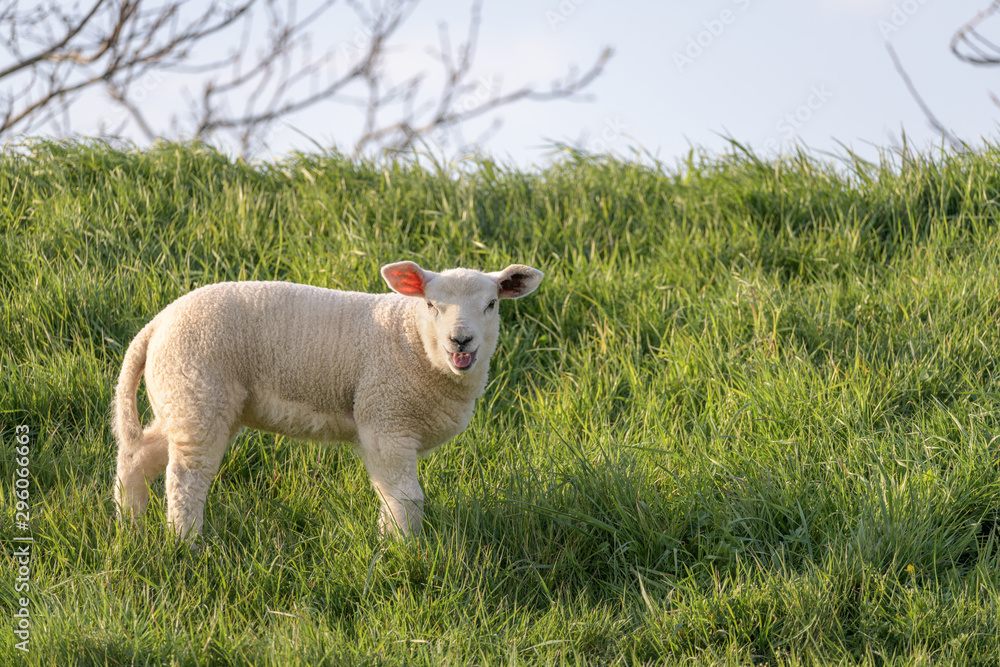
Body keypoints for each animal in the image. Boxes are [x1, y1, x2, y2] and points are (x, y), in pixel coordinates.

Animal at [112, 260, 543, 539]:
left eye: (492, 304)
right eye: (430, 304)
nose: (461, 340)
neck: (414, 342)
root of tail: (156, 324)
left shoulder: (388, 428)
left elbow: (390, 496)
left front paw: (389, 543)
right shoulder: (386, 418)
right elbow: (405, 498)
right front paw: (404, 551)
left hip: (184, 399)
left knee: (137, 456)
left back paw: (130, 525)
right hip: (197, 392)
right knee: (186, 480)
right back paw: (186, 544)